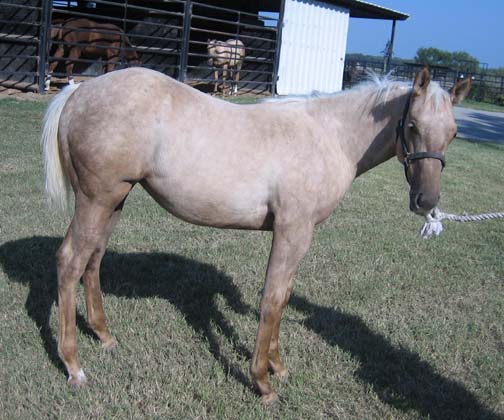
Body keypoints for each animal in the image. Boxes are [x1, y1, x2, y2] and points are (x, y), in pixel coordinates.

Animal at [41, 65, 470, 404]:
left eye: (453, 133)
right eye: (412, 126)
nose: (426, 200)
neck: (329, 136)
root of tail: (79, 91)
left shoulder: (298, 235)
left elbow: (284, 296)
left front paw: (278, 366)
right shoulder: (292, 230)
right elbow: (273, 299)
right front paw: (263, 383)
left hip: (114, 201)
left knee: (94, 260)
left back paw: (104, 336)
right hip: (97, 200)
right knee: (70, 261)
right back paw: (74, 367)